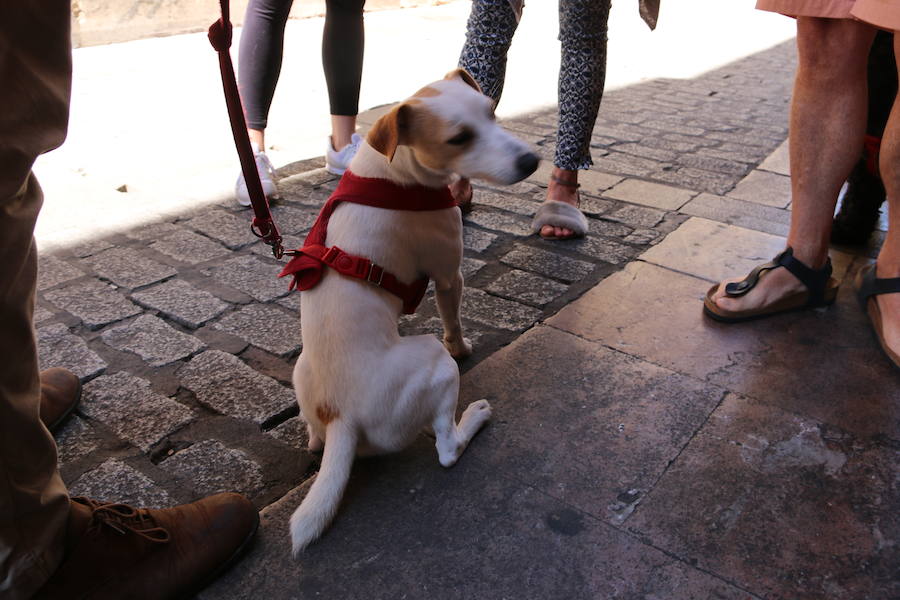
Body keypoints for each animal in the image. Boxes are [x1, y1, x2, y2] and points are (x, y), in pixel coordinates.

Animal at [288, 69, 536, 552]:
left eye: (493, 111)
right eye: (459, 138)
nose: (533, 161)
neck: (395, 174)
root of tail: (340, 415)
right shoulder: (448, 274)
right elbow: (452, 318)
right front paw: (463, 345)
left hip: (301, 373)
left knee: (314, 441)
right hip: (433, 363)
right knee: (447, 449)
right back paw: (472, 417)